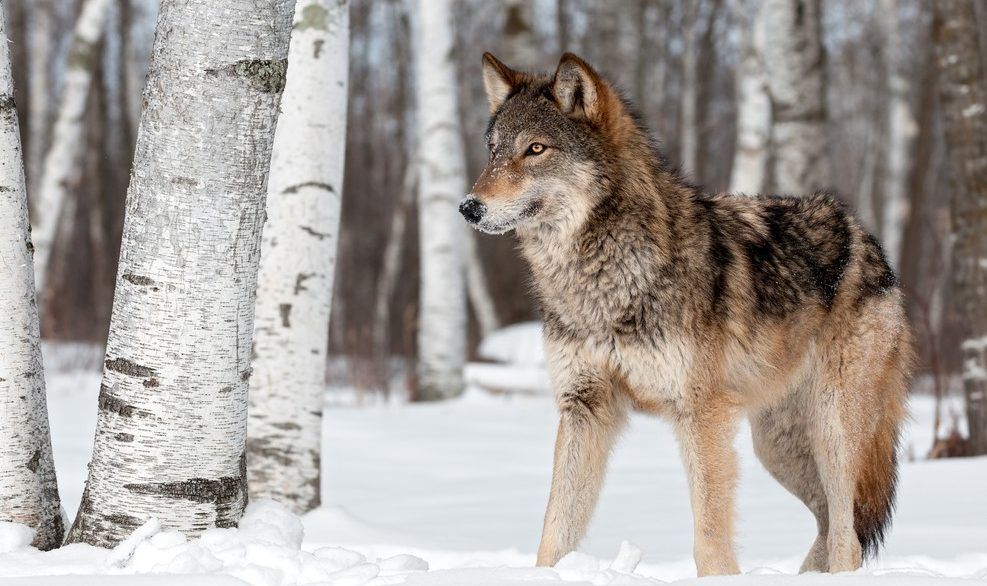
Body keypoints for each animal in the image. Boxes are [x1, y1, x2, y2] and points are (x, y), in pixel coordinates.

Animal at [460, 52, 912, 576]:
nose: (468, 207)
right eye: (493, 151)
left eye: (535, 149)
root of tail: (867, 237)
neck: (605, 279)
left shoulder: (701, 415)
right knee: (828, 523)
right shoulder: (584, 406)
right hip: (776, 447)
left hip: (833, 432)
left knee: (847, 535)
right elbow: (555, 530)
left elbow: (710, 538)